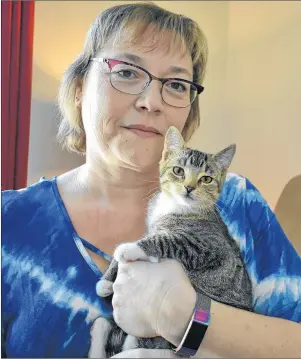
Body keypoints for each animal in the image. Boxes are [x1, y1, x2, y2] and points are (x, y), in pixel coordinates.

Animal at [89, 126, 251, 358]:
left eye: (206, 179)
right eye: (178, 170)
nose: (189, 187)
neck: (175, 206)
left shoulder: (208, 246)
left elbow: (166, 240)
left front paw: (130, 249)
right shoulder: (151, 225)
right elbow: (146, 236)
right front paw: (106, 281)